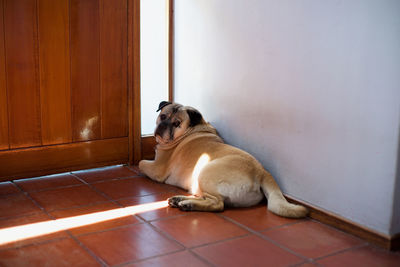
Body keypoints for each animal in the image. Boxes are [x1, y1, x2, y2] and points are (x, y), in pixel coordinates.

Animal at [139, 101, 308, 219]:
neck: (191, 130)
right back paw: (180, 200)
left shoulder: (157, 168)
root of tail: (262, 172)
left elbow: (141, 163)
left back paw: (187, 204)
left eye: (176, 124)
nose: (162, 125)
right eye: (163, 116)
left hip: (205, 173)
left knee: (218, 204)